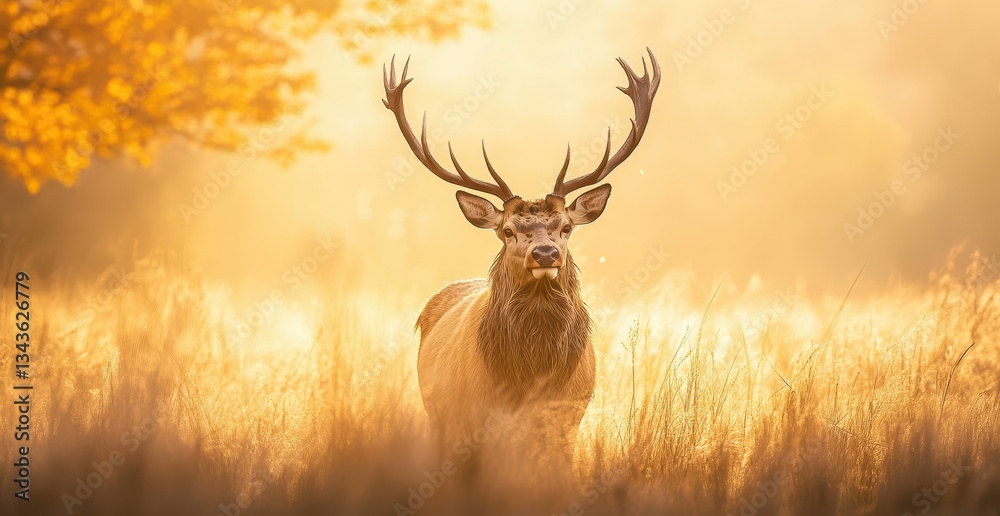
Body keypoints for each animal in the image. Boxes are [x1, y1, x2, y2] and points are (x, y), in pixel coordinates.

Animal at [382, 49, 660, 472]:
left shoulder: (567, 416)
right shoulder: (472, 417)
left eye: (566, 227)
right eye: (508, 230)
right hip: (439, 415)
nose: (545, 253)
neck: (531, 375)